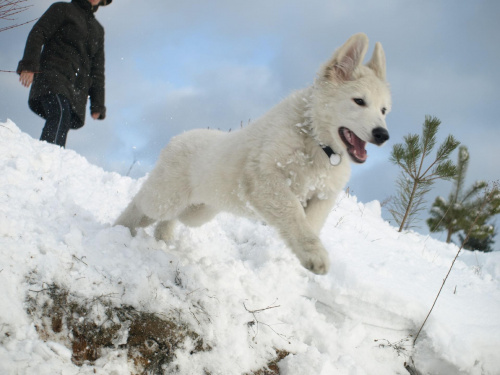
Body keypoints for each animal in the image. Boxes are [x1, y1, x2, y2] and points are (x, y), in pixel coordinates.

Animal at [116, 34, 390, 276]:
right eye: (359, 101)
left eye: (384, 110)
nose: (383, 135)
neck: (315, 139)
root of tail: (178, 137)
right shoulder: (265, 180)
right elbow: (293, 212)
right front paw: (314, 255)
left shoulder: (324, 195)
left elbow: (309, 222)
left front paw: (300, 251)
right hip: (166, 197)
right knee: (141, 204)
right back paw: (120, 229)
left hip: (198, 210)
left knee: (169, 219)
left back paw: (162, 236)